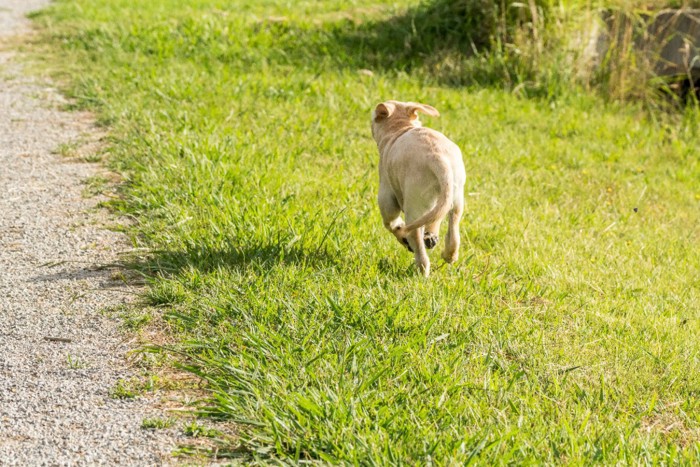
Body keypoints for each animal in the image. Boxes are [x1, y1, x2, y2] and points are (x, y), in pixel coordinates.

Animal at [372, 100, 464, 276]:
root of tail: (438, 159)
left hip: (414, 205)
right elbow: (434, 221)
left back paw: (421, 271)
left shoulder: (386, 197)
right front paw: (430, 237)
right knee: (453, 229)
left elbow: (393, 224)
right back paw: (448, 255)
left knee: (416, 239)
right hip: (455, 198)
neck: (400, 129)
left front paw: (404, 238)